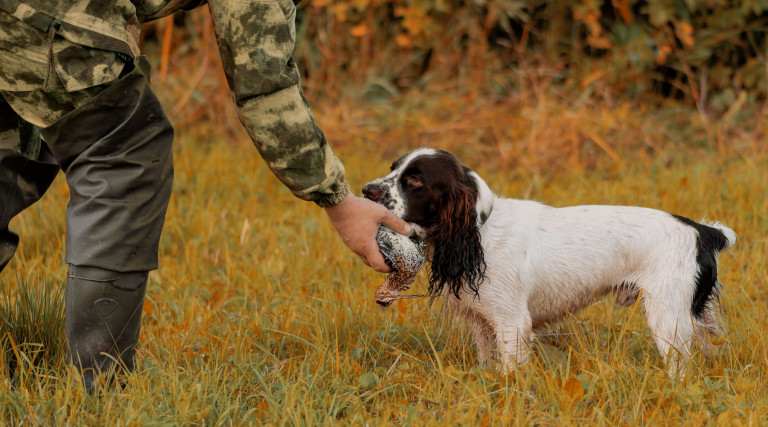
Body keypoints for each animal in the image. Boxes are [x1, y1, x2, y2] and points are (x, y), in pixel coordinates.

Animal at [364, 148, 736, 374]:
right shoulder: (484, 324)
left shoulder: (512, 323)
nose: (367, 190)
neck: (481, 229)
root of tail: (703, 230)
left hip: (667, 318)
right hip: (692, 317)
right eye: (392, 169)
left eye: (415, 179)